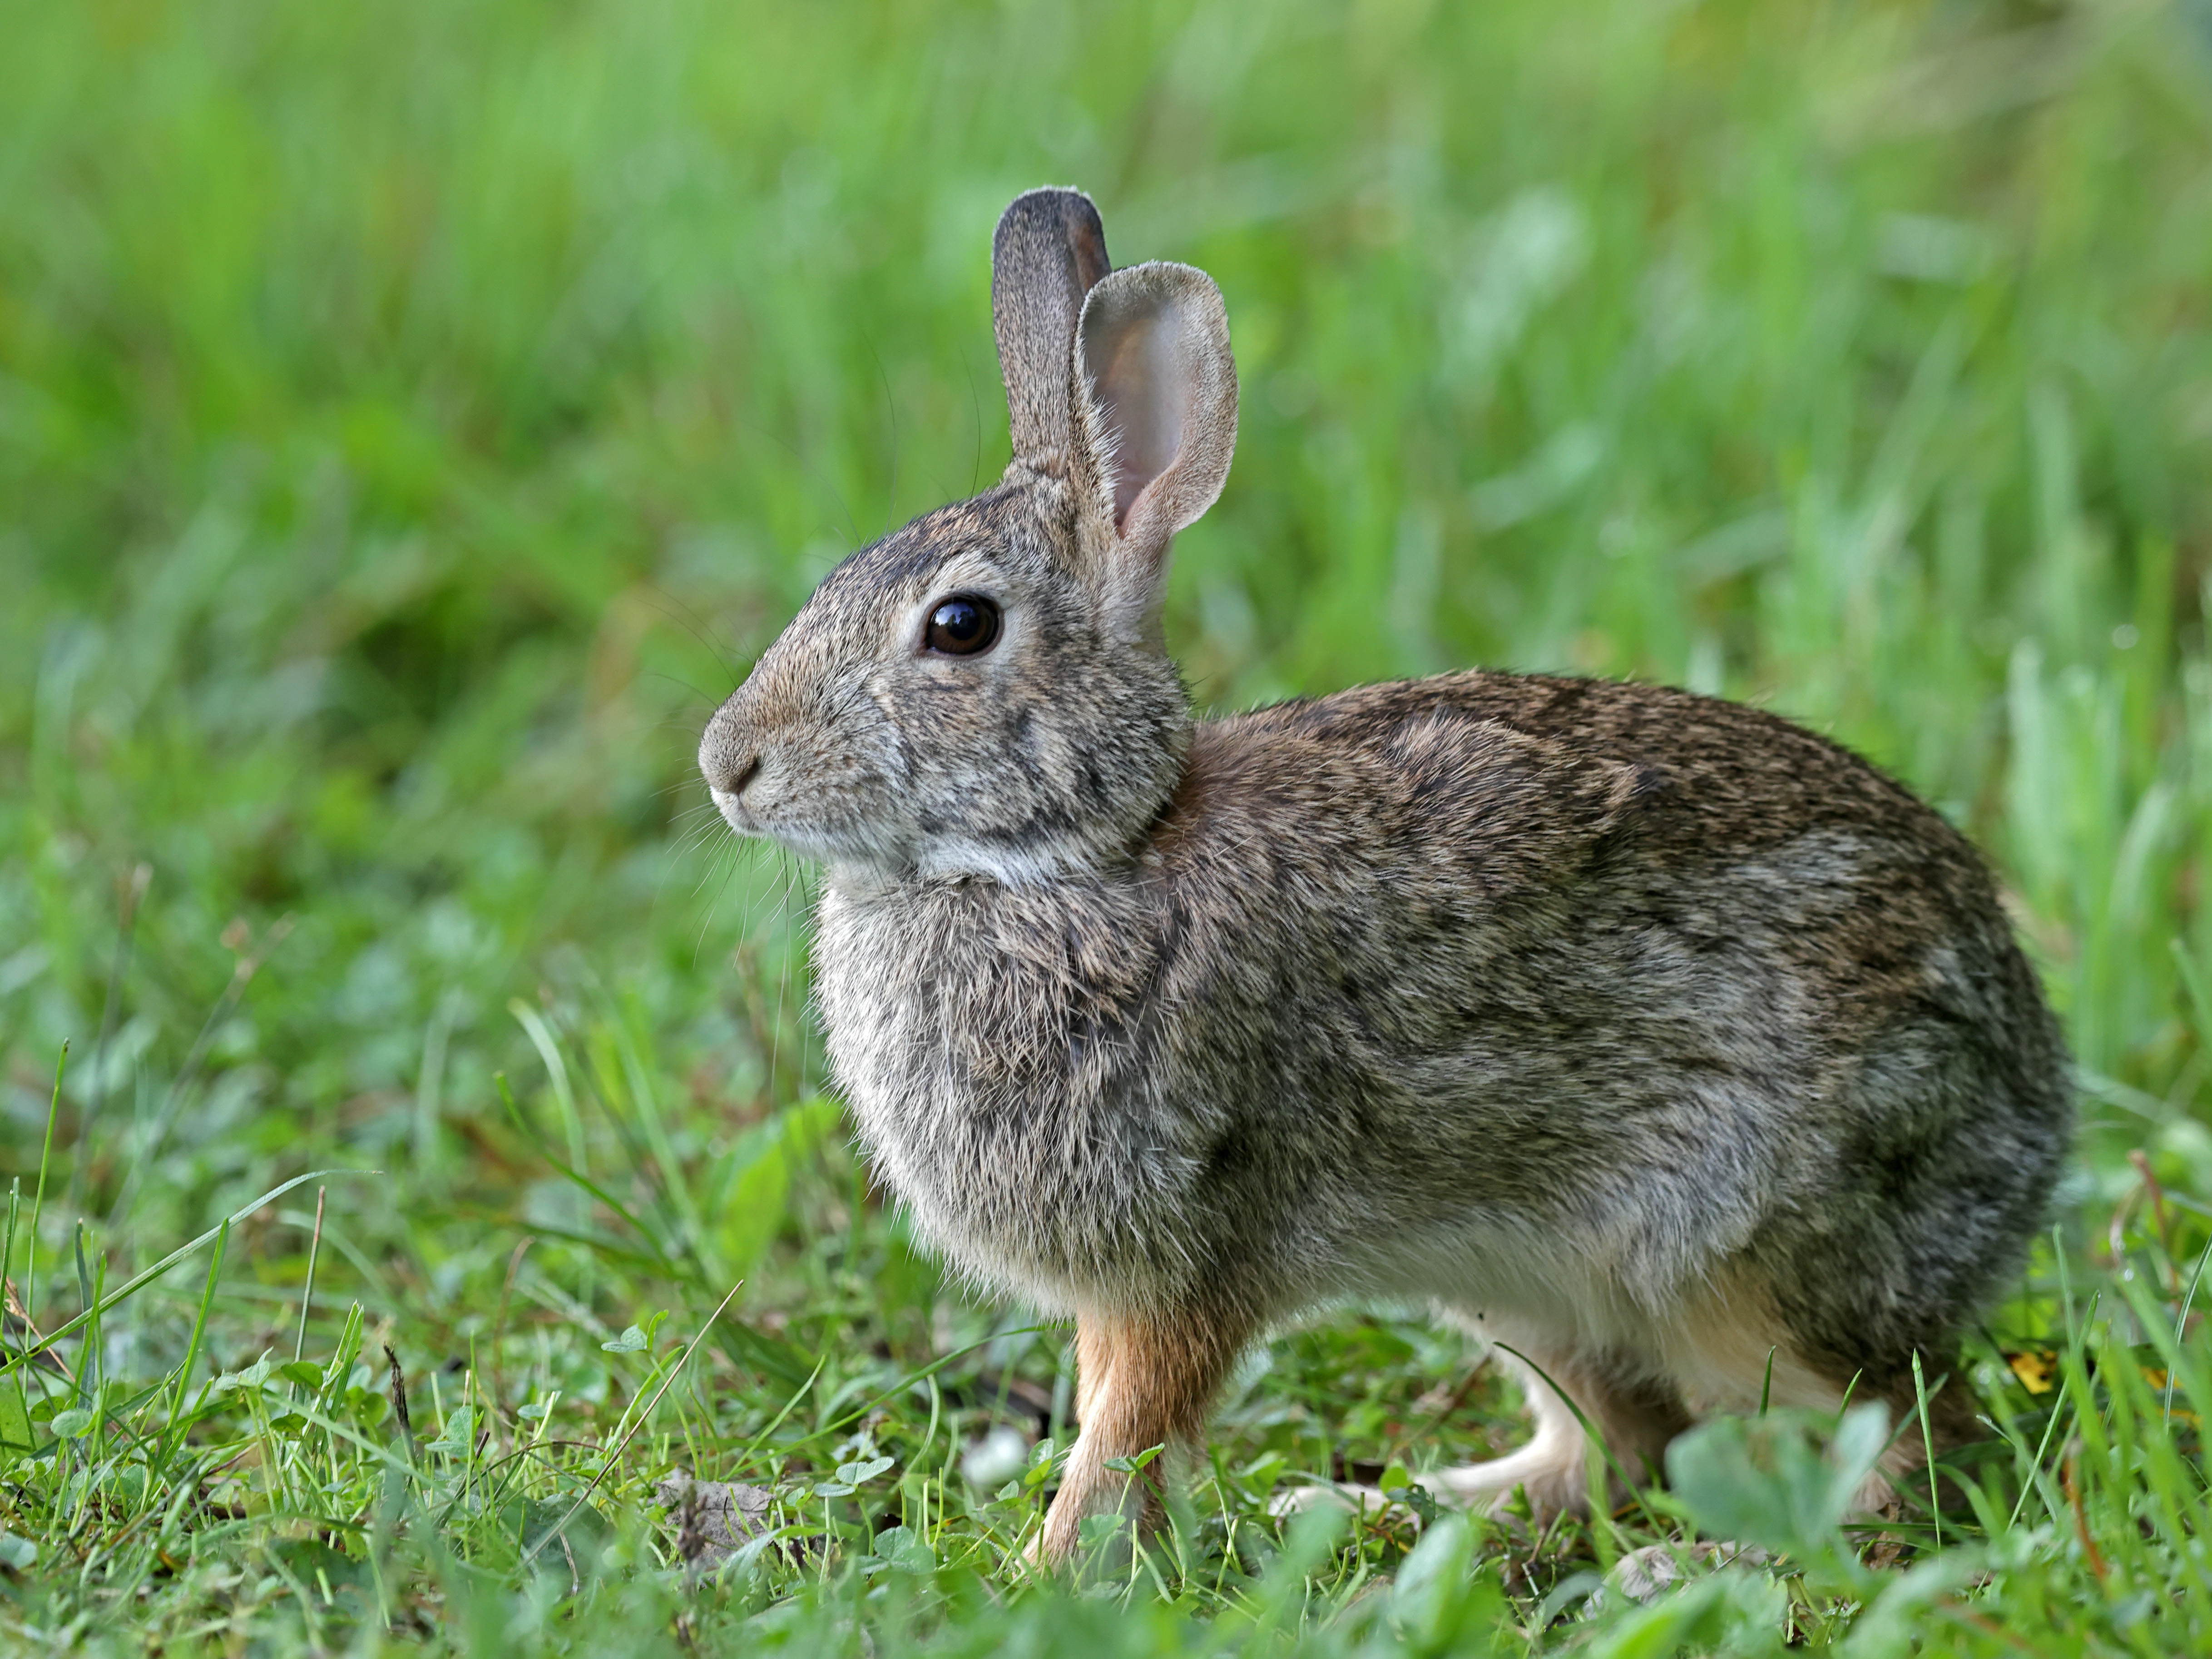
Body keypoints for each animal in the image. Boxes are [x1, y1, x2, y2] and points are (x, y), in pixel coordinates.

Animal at [703, 188, 2070, 1566]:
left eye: (959, 627)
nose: (727, 764)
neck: (1077, 852)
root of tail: (2031, 1120)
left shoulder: (1186, 1256)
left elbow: (1125, 1430)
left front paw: (1045, 1570)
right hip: (1518, 1285)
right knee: (1620, 1444)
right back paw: (1394, 1508)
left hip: (1740, 1262)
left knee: (1909, 1435)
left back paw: (1715, 1553)